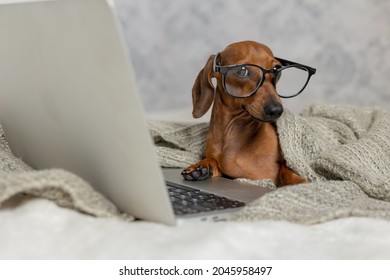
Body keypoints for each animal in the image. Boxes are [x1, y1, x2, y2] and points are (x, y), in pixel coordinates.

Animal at [182, 41, 314, 186]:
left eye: (276, 69)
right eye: (242, 70)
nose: (276, 110)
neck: (231, 134)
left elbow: (286, 170)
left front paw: (302, 182)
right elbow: (214, 162)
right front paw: (201, 166)